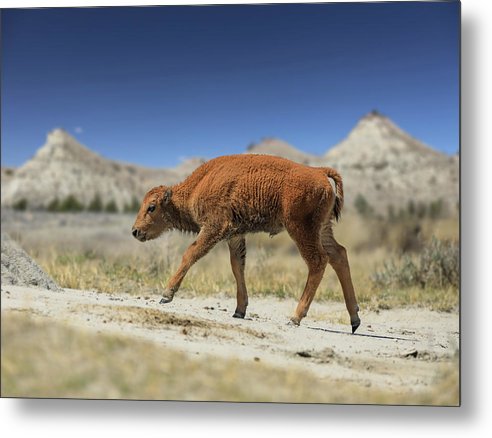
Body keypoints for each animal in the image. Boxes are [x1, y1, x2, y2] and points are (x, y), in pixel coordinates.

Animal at [133, 153, 360, 332]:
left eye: (151, 207)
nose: (135, 231)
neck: (198, 186)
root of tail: (319, 172)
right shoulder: (234, 236)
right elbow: (237, 267)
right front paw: (239, 310)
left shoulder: (214, 228)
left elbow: (191, 253)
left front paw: (166, 295)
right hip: (323, 229)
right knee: (339, 255)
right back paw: (354, 319)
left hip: (301, 229)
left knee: (318, 261)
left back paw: (295, 317)